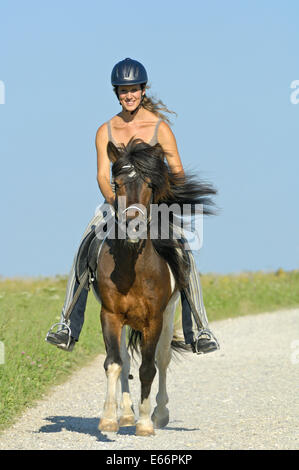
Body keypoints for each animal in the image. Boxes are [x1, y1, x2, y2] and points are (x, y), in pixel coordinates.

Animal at [95, 140, 216, 436]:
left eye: (150, 184)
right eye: (116, 184)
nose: (133, 226)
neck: (132, 268)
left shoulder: (154, 320)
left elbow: (148, 369)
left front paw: (146, 423)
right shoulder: (110, 315)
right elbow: (114, 363)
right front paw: (109, 418)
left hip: (169, 314)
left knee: (162, 360)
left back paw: (159, 414)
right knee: (126, 361)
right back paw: (127, 414)